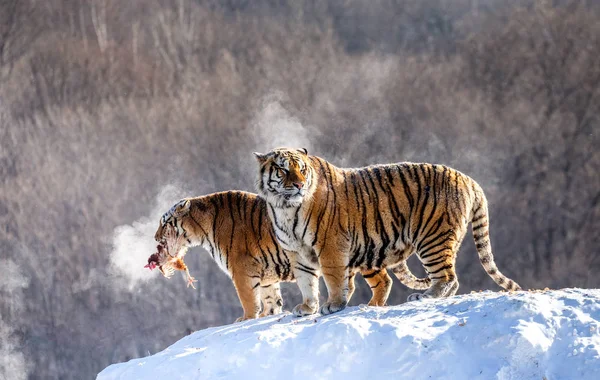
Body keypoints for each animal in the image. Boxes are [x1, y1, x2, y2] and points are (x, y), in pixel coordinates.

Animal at [149, 190, 426, 320]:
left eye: (164, 222)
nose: (154, 237)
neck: (204, 229)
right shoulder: (265, 276)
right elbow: (270, 299)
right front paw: (267, 315)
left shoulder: (241, 271)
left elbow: (248, 299)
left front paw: (245, 318)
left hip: (365, 255)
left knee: (383, 281)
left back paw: (371, 305)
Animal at [253, 147, 520, 316]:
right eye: (283, 170)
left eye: (302, 169)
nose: (299, 184)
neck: (284, 208)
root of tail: (468, 179)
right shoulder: (297, 253)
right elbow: (306, 281)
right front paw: (308, 308)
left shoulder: (330, 246)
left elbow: (333, 279)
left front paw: (334, 304)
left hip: (432, 238)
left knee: (446, 277)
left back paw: (425, 296)